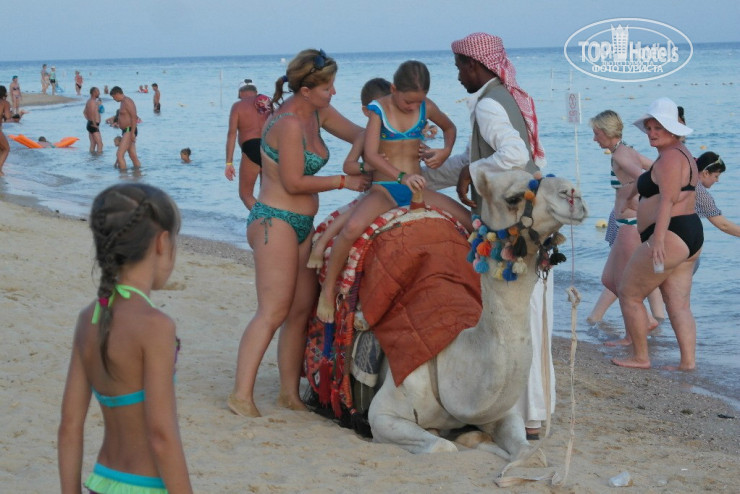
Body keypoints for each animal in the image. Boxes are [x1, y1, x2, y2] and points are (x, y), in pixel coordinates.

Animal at [367, 169, 588, 458]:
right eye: (514, 197)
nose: (572, 193)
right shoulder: (382, 413)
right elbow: (442, 446)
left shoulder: (501, 412)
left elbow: (526, 452)